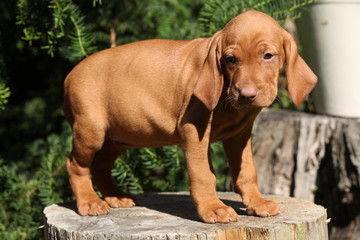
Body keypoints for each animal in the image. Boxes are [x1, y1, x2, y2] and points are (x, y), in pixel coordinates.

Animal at [63, 9, 316, 223]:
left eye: (268, 56)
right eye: (230, 59)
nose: (246, 94)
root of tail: (69, 75)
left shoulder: (239, 136)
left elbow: (247, 171)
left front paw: (257, 203)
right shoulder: (194, 131)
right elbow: (203, 174)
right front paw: (213, 208)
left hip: (118, 137)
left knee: (101, 165)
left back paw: (115, 197)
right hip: (91, 131)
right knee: (75, 164)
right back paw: (89, 202)